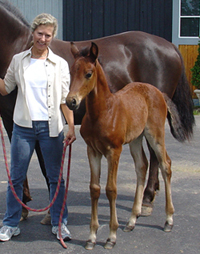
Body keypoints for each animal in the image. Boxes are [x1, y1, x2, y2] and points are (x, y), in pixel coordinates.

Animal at [66, 42, 181, 249]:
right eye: (71, 72)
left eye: (88, 73)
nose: (71, 101)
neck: (103, 112)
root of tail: (157, 91)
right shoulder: (92, 151)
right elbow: (94, 188)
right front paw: (92, 237)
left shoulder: (114, 151)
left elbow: (111, 189)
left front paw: (111, 236)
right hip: (136, 139)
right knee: (142, 166)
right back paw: (132, 221)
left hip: (155, 135)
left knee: (165, 164)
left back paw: (168, 220)